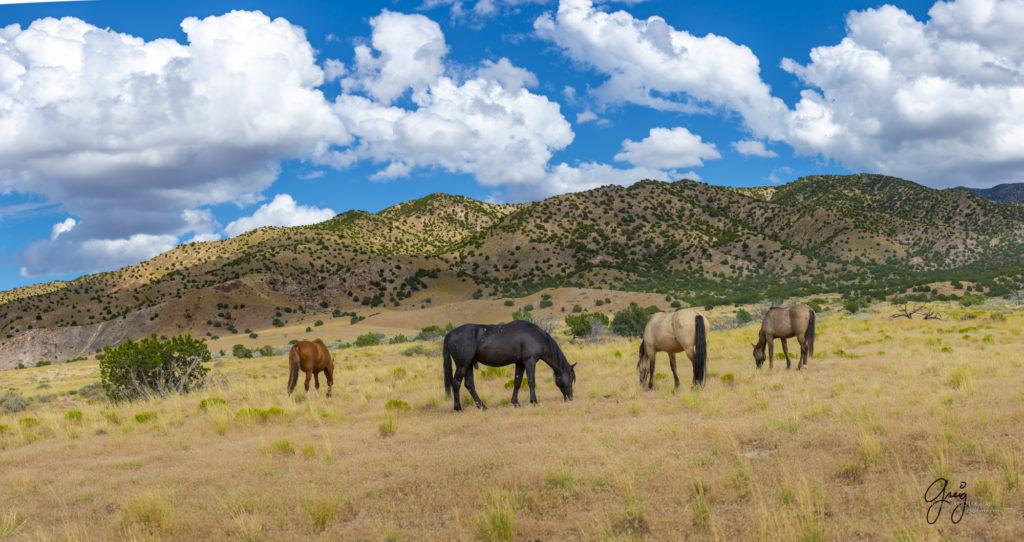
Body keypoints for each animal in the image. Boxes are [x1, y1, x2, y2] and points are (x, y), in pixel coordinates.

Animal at [442, 317, 577, 409]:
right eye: (571, 378)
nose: (570, 398)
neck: (537, 336)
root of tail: (449, 334)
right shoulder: (530, 361)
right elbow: (531, 382)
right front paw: (534, 402)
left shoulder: (520, 363)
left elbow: (517, 382)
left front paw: (515, 403)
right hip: (462, 365)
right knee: (456, 383)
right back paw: (458, 408)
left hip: (468, 365)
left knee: (469, 385)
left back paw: (482, 406)